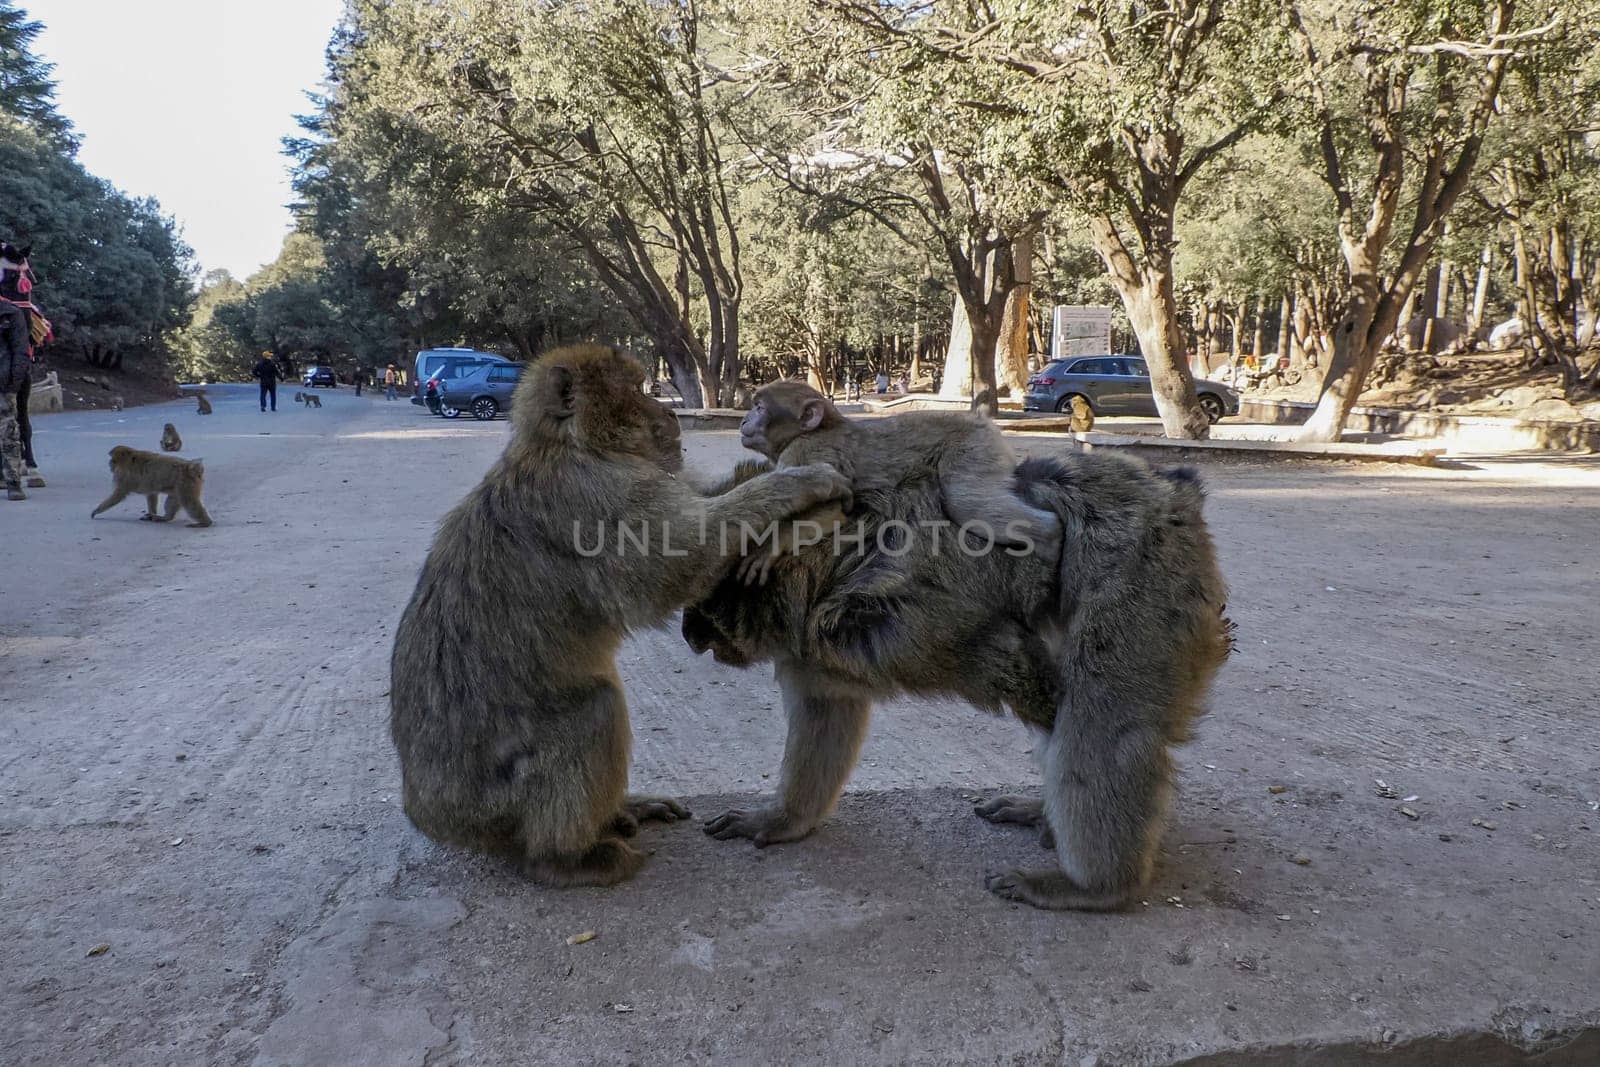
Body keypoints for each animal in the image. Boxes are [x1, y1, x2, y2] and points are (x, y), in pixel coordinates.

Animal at [387, 347, 851, 889]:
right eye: (634, 390)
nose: (669, 414)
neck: (566, 444)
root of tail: (430, 814)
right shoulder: (591, 496)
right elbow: (676, 562)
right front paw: (800, 482)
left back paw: (618, 813)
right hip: (498, 800)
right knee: (595, 708)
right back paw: (566, 857)